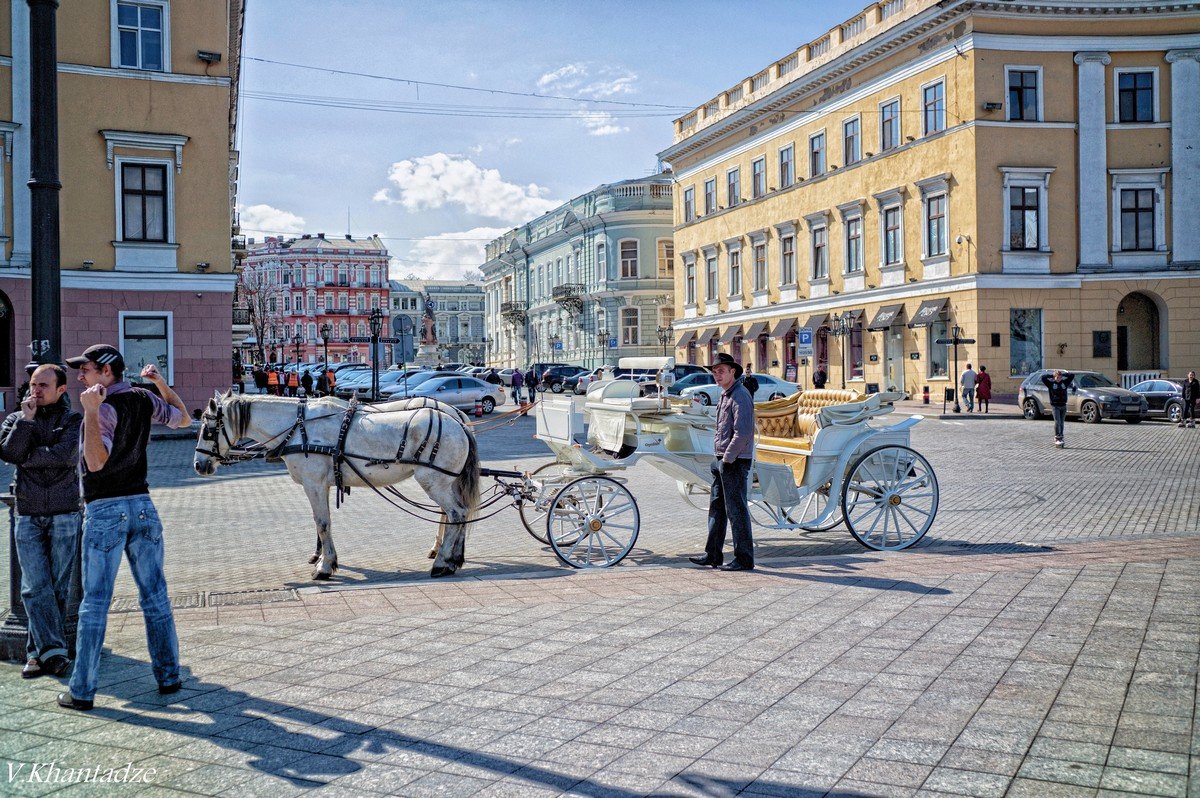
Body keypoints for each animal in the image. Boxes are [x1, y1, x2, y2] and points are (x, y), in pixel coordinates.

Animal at [194, 391, 480, 578]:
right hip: (445, 482)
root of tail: (458, 422)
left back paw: (442, 563)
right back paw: (452, 558)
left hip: (435, 482)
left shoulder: (314, 484)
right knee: (459, 513)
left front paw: (324, 566)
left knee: (456, 514)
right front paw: (323, 558)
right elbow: (322, 522)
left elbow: (322, 523)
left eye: (208, 430)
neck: (299, 428)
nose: (199, 465)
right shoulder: (323, 484)